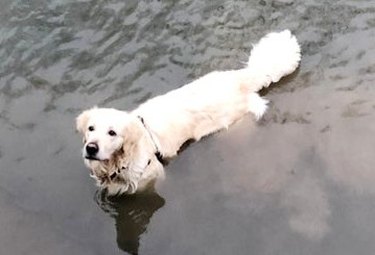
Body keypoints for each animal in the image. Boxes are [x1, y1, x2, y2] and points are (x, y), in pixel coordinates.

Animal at [76, 30, 302, 196]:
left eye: (112, 132)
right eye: (91, 129)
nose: (91, 148)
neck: (118, 163)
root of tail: (240, 78)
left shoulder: (151, 179)